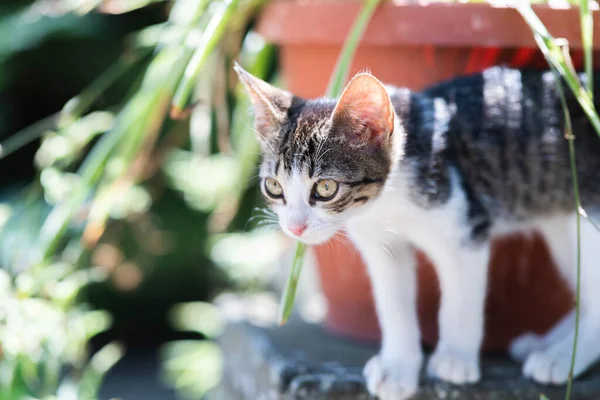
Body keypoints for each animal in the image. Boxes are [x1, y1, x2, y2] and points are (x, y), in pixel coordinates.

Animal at [236, 63, 600, 400]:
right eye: (273, 187)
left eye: (325, 188)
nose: (295, 226)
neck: (386, 203)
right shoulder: (381, 247)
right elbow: (393, 303)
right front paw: (398, 367)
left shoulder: (464, 228)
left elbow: (459, 301)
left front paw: (454, 359)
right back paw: (549, 343)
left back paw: (560, 358)